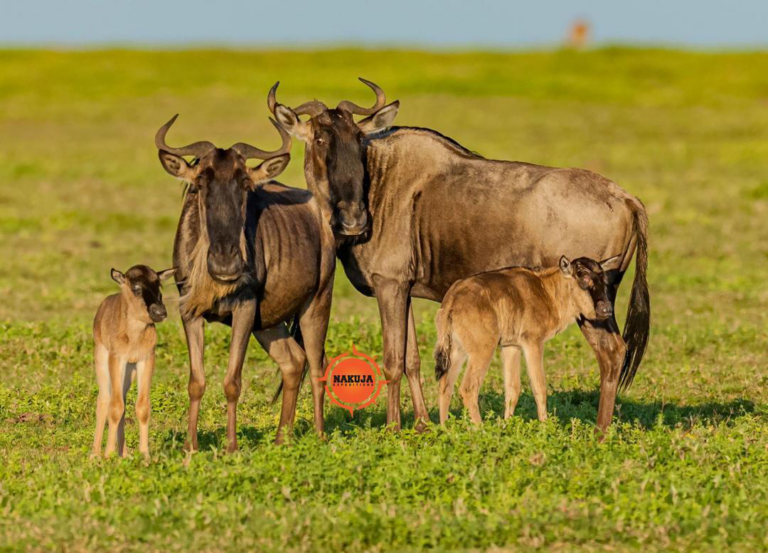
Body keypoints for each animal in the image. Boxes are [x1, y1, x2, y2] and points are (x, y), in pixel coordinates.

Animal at [92, 265, 175, 459]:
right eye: (136, 287)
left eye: (158, 284)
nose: (159, 312)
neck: (135, 335)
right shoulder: (117, 359)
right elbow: (114, 407)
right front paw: (108, 456)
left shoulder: (146, 359)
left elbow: (142, 407)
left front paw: (145, 456)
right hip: (102, 360)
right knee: (104, 400)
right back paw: (95, 455)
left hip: (129, 373)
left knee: (121, 399)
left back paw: (123, 454)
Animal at [156, 115, 335, 452]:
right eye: (200, 184)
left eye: (245, 185)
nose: (226, 264)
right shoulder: (190, 311)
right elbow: (196, 381)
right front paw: (190, 447)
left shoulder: (245, 308)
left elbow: (232, 381)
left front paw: (231, 447)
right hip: (269, 323)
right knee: (294, 362)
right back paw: (281, 439)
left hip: (317, 303)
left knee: (317, 366)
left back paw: (318, 438)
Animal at [434, 256, 620, 424]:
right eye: (583, 278)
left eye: (603, 279)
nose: (606, 309)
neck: (548, 291)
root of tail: (453, 297)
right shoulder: (533, 342)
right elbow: (539, 386)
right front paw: (545, 427)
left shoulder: (511, 346)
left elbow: (512, 388)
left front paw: (507, 425)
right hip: (482, 350)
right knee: (468, 388)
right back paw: (480, 429)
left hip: (457, 350)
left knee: (445, 386)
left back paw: (446, 428)